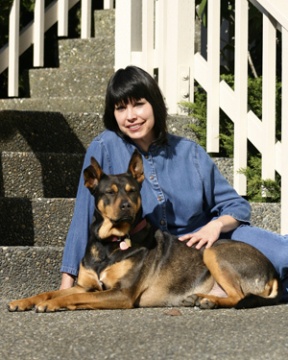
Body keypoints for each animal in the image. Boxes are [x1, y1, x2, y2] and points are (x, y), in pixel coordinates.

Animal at [7, 150, 282, 312]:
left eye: (132, 191)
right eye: (109, 193)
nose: (126, 206)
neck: (111, 242)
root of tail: (272, 272)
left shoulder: (122, 294)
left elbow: (66, 297)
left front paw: (52, 304)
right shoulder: (87, 287)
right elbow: (51, 291)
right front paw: (23, 301)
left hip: (212, 252)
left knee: (238, 295)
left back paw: (208, 301)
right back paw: (200, 298)